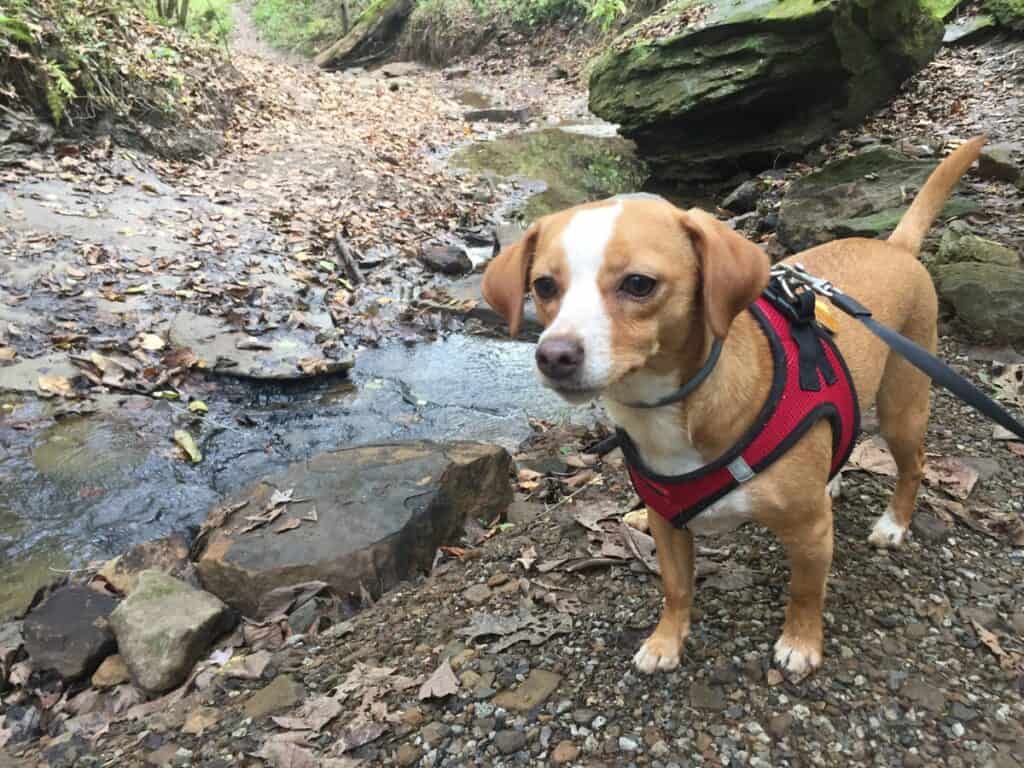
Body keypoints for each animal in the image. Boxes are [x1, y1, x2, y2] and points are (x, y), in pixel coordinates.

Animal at [479, 137, 983, 671]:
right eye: (544, 286)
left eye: (639, 284)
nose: (554, 355)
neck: (669, 414)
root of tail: (892, 246)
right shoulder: (665, 524)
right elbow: (676, 589)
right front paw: (666, 642)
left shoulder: (810, 532)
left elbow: (806, 592)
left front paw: (801, 643)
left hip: (902, 406)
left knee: (914, 465)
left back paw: (894, 524)